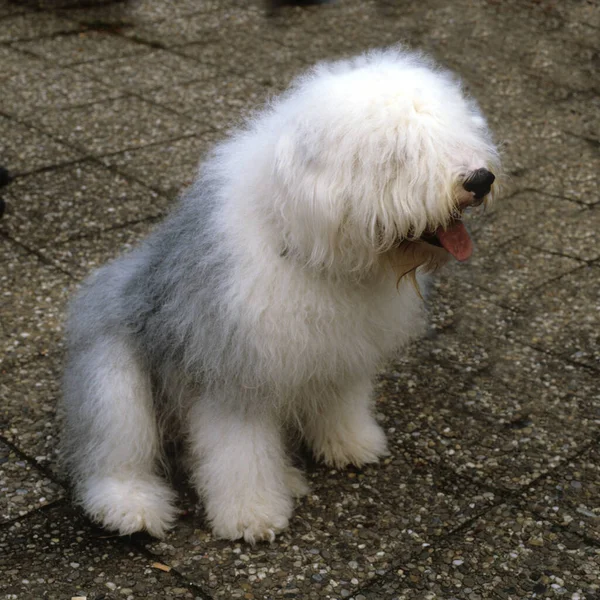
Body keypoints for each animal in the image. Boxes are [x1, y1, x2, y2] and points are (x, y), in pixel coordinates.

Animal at [63, 48, 500, 544]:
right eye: (401, 154)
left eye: (457, 133)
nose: (480, 180)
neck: (308, 244)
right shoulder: (235, 372)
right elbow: (239, 451)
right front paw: (251, 515)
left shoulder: (342, 353)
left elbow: (341, 402)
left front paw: (350, 443)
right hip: (112, 375)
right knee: (114, 453)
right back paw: (131, 507)